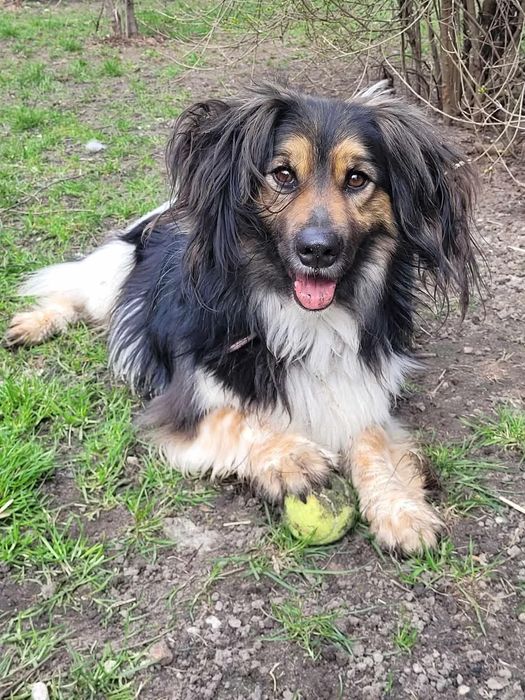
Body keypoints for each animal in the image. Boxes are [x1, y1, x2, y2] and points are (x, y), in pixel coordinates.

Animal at [5, 82, 479, 554]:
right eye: (283, 175)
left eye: (357, 178)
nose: (319, 250)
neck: (302, 317)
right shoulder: (185, 400)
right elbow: (234, 417)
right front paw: (294, 457)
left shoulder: (363, 389)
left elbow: (373, 442)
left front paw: (401, 510)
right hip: (113, 275)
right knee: (76, 294)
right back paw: (32, 325)